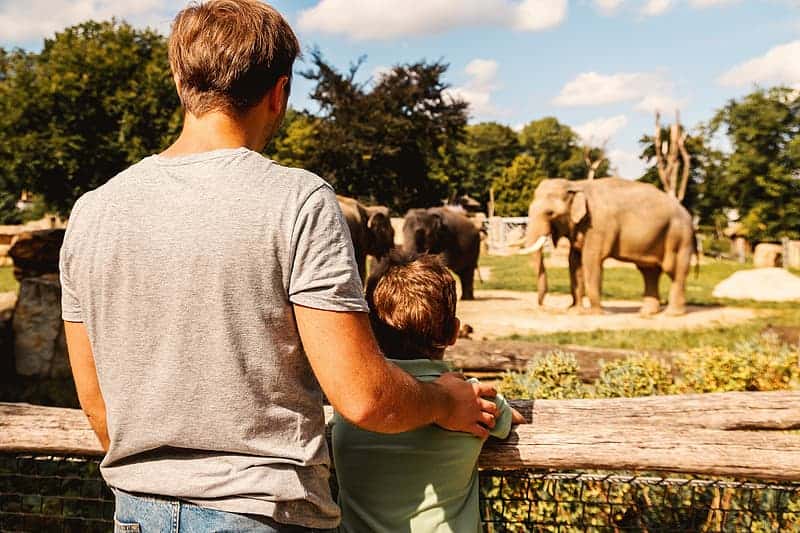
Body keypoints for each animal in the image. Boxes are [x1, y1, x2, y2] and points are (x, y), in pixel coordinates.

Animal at [521, 177, 696, 315]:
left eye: (550, 213)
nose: (543, 306)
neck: (576, 184)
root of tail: (688, 215)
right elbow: (574, 262)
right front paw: (574, 310)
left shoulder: (598, 225)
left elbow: (591, 260)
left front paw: (594, 313)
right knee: (649, 271)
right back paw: (647, 313)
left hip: (678, 236)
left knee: (674, 270)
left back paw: (672, 314)